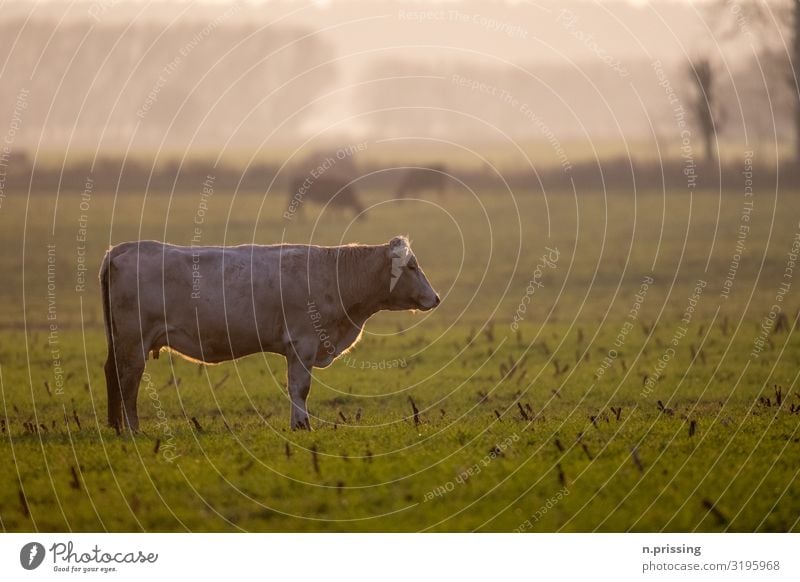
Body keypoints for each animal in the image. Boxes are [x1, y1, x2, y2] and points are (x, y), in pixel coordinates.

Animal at [101, 235, 440, 432]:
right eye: (411, 267)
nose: (435, 297)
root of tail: (124, 248)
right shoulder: (303, 343)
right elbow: (300, 388)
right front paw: (302, 425)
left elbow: (294, 387)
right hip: (133, 342)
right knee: (128, 379)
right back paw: (133, 429)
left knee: (112, 373)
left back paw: (116, 426)